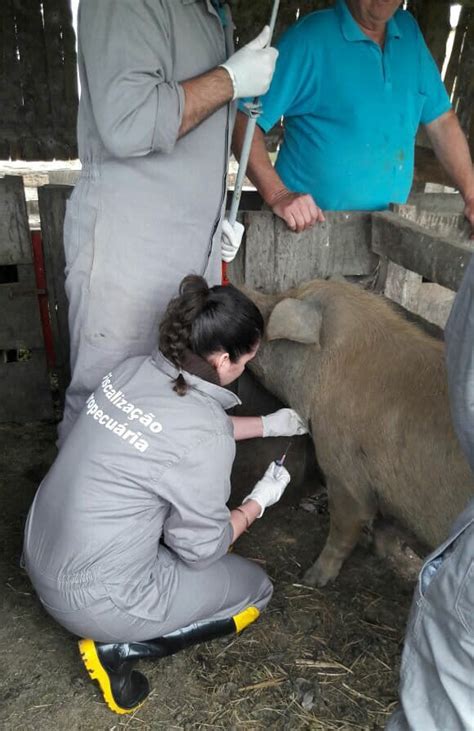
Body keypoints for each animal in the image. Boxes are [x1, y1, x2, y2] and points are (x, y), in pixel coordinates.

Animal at [246, 278, 472, 588]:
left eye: (278, 302)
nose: (238, 289)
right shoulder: (388, 488)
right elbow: (386, 524)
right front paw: (377, 552)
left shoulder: (344, 467)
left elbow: (345, 524)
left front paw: (313, 578)